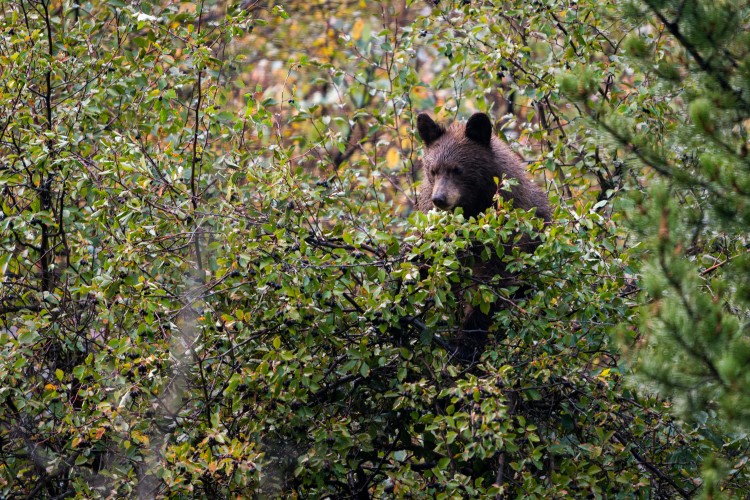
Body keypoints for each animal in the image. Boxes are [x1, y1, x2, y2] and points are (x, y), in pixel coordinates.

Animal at [418, 110, 552, 360]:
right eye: (433, 170)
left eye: (457, 169)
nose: (439, 199)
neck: (474, 205)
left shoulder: (508, 228)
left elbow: (492, 282)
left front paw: (467, 341)